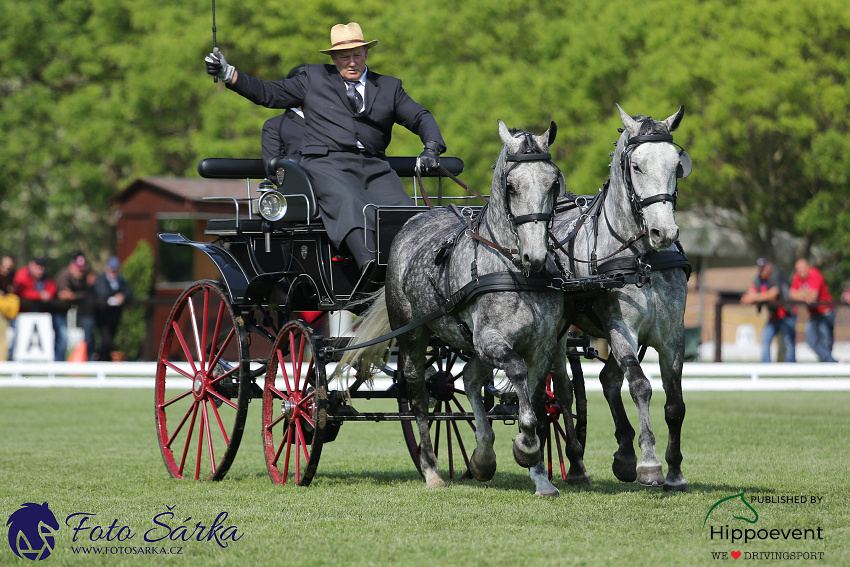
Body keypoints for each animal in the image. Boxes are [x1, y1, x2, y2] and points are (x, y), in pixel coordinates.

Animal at [338, 121, 584, 496]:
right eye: (510, 186)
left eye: (553, 182)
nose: (536, 256)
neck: (515, 273)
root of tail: (416, 219)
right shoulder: (491, 340)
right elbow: (518, 378)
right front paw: (525, 449)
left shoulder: (542, 347)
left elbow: (538, 404)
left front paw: (540, 475)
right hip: (412, 336)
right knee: (419, 396)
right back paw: (432, 470)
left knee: (467, 378)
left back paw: (482, 458)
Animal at [548, 105, 692, 492]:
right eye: (636, 166)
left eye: (676, 164)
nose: (664, 232)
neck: (642, 258)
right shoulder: (621, 328)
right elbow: (641, 386)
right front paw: (650, 464)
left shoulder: (671, 335)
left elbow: (675, 403)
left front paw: (674, 471)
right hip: (559, 335)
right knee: (562, 392)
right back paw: (577, 464)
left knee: (608, 379)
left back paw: (624, 454)